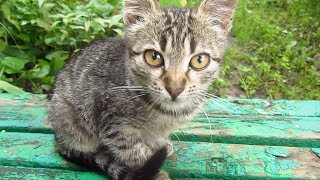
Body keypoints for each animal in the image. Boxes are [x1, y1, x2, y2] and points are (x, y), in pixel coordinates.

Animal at [48, 0, 238, 179]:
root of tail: (59, 138)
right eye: (153, 57)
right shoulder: (112, 123)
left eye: (200, 60)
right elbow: (134, 152)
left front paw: (158, 143)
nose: (174, 88)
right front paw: (154, 172)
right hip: (68, 118)